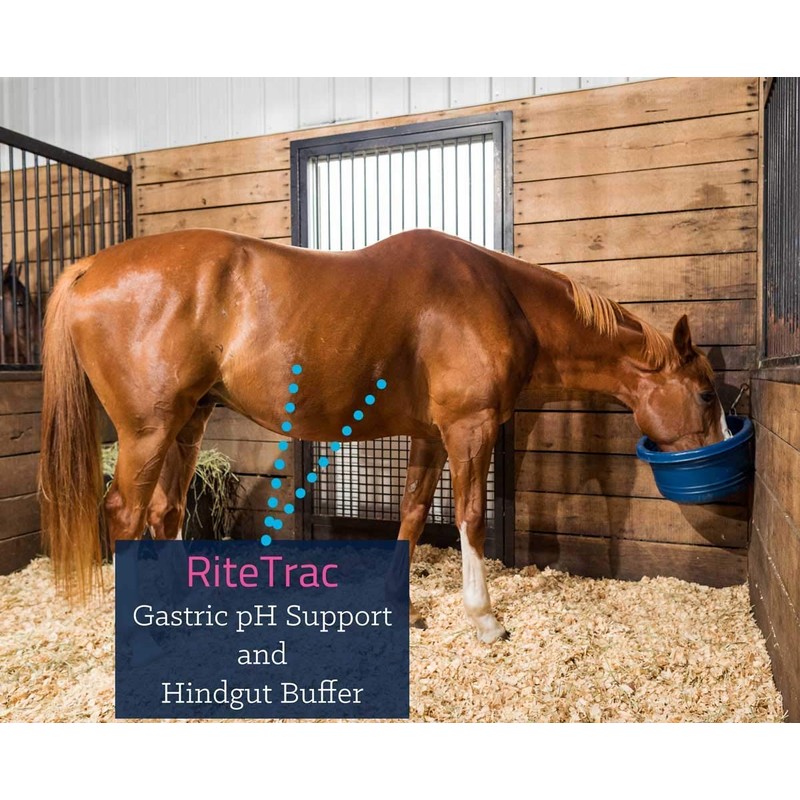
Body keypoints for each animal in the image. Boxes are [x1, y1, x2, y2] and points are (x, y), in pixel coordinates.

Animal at [39, 228, 729, 643]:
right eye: (705, 393)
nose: (718, 464)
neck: (499, 298)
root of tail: (92, 267)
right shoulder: (469, 427)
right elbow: (470, 518)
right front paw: (484, 620)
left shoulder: (431, 434)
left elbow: (414, 512)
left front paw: (401, 605)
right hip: (149, 430)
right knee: (126, 513)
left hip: (188, 421)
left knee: (166, 510)